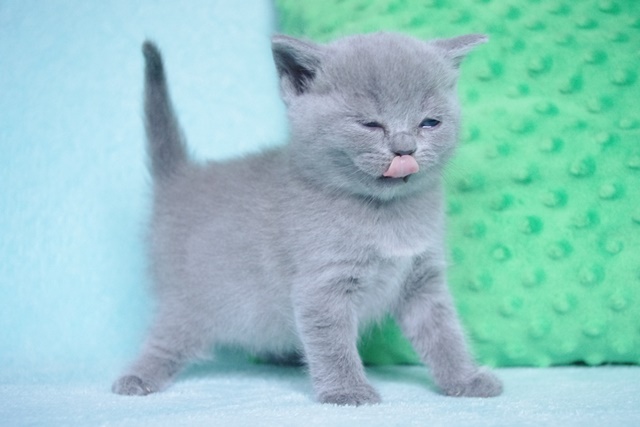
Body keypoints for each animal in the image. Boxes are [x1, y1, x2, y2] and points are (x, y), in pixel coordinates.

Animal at [112, 31, 502, 406]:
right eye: (370, 124)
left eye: (429, 122)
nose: (405, 149)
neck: (386, 214)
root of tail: (180, 179)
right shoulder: (322, 286)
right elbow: (332, 344)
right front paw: (347, 391)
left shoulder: (423, 280)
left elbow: (444, 334)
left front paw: (465, 380)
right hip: (188, 299)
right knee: (166, 338)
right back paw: (137, 378)